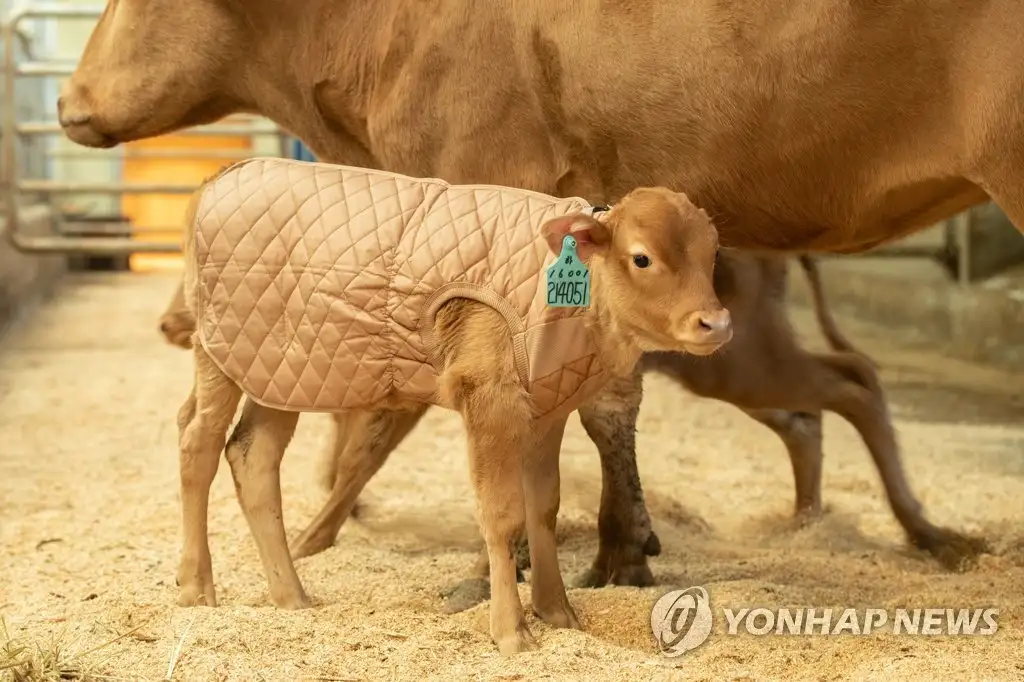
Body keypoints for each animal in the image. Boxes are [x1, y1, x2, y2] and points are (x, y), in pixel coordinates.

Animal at [174, 155, 729, 655]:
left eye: (712, 254)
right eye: (642, 258)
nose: (716, 323)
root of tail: (223, 176)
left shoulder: (546, 408)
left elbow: (543, 507)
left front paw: (558, 613)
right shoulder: (489, 395)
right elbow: (503, 515)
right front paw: (512, 632)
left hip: (280, 370)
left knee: (252, 456)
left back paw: (292, 596)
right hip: (220, 353)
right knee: (198, 443)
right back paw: (197, 586)